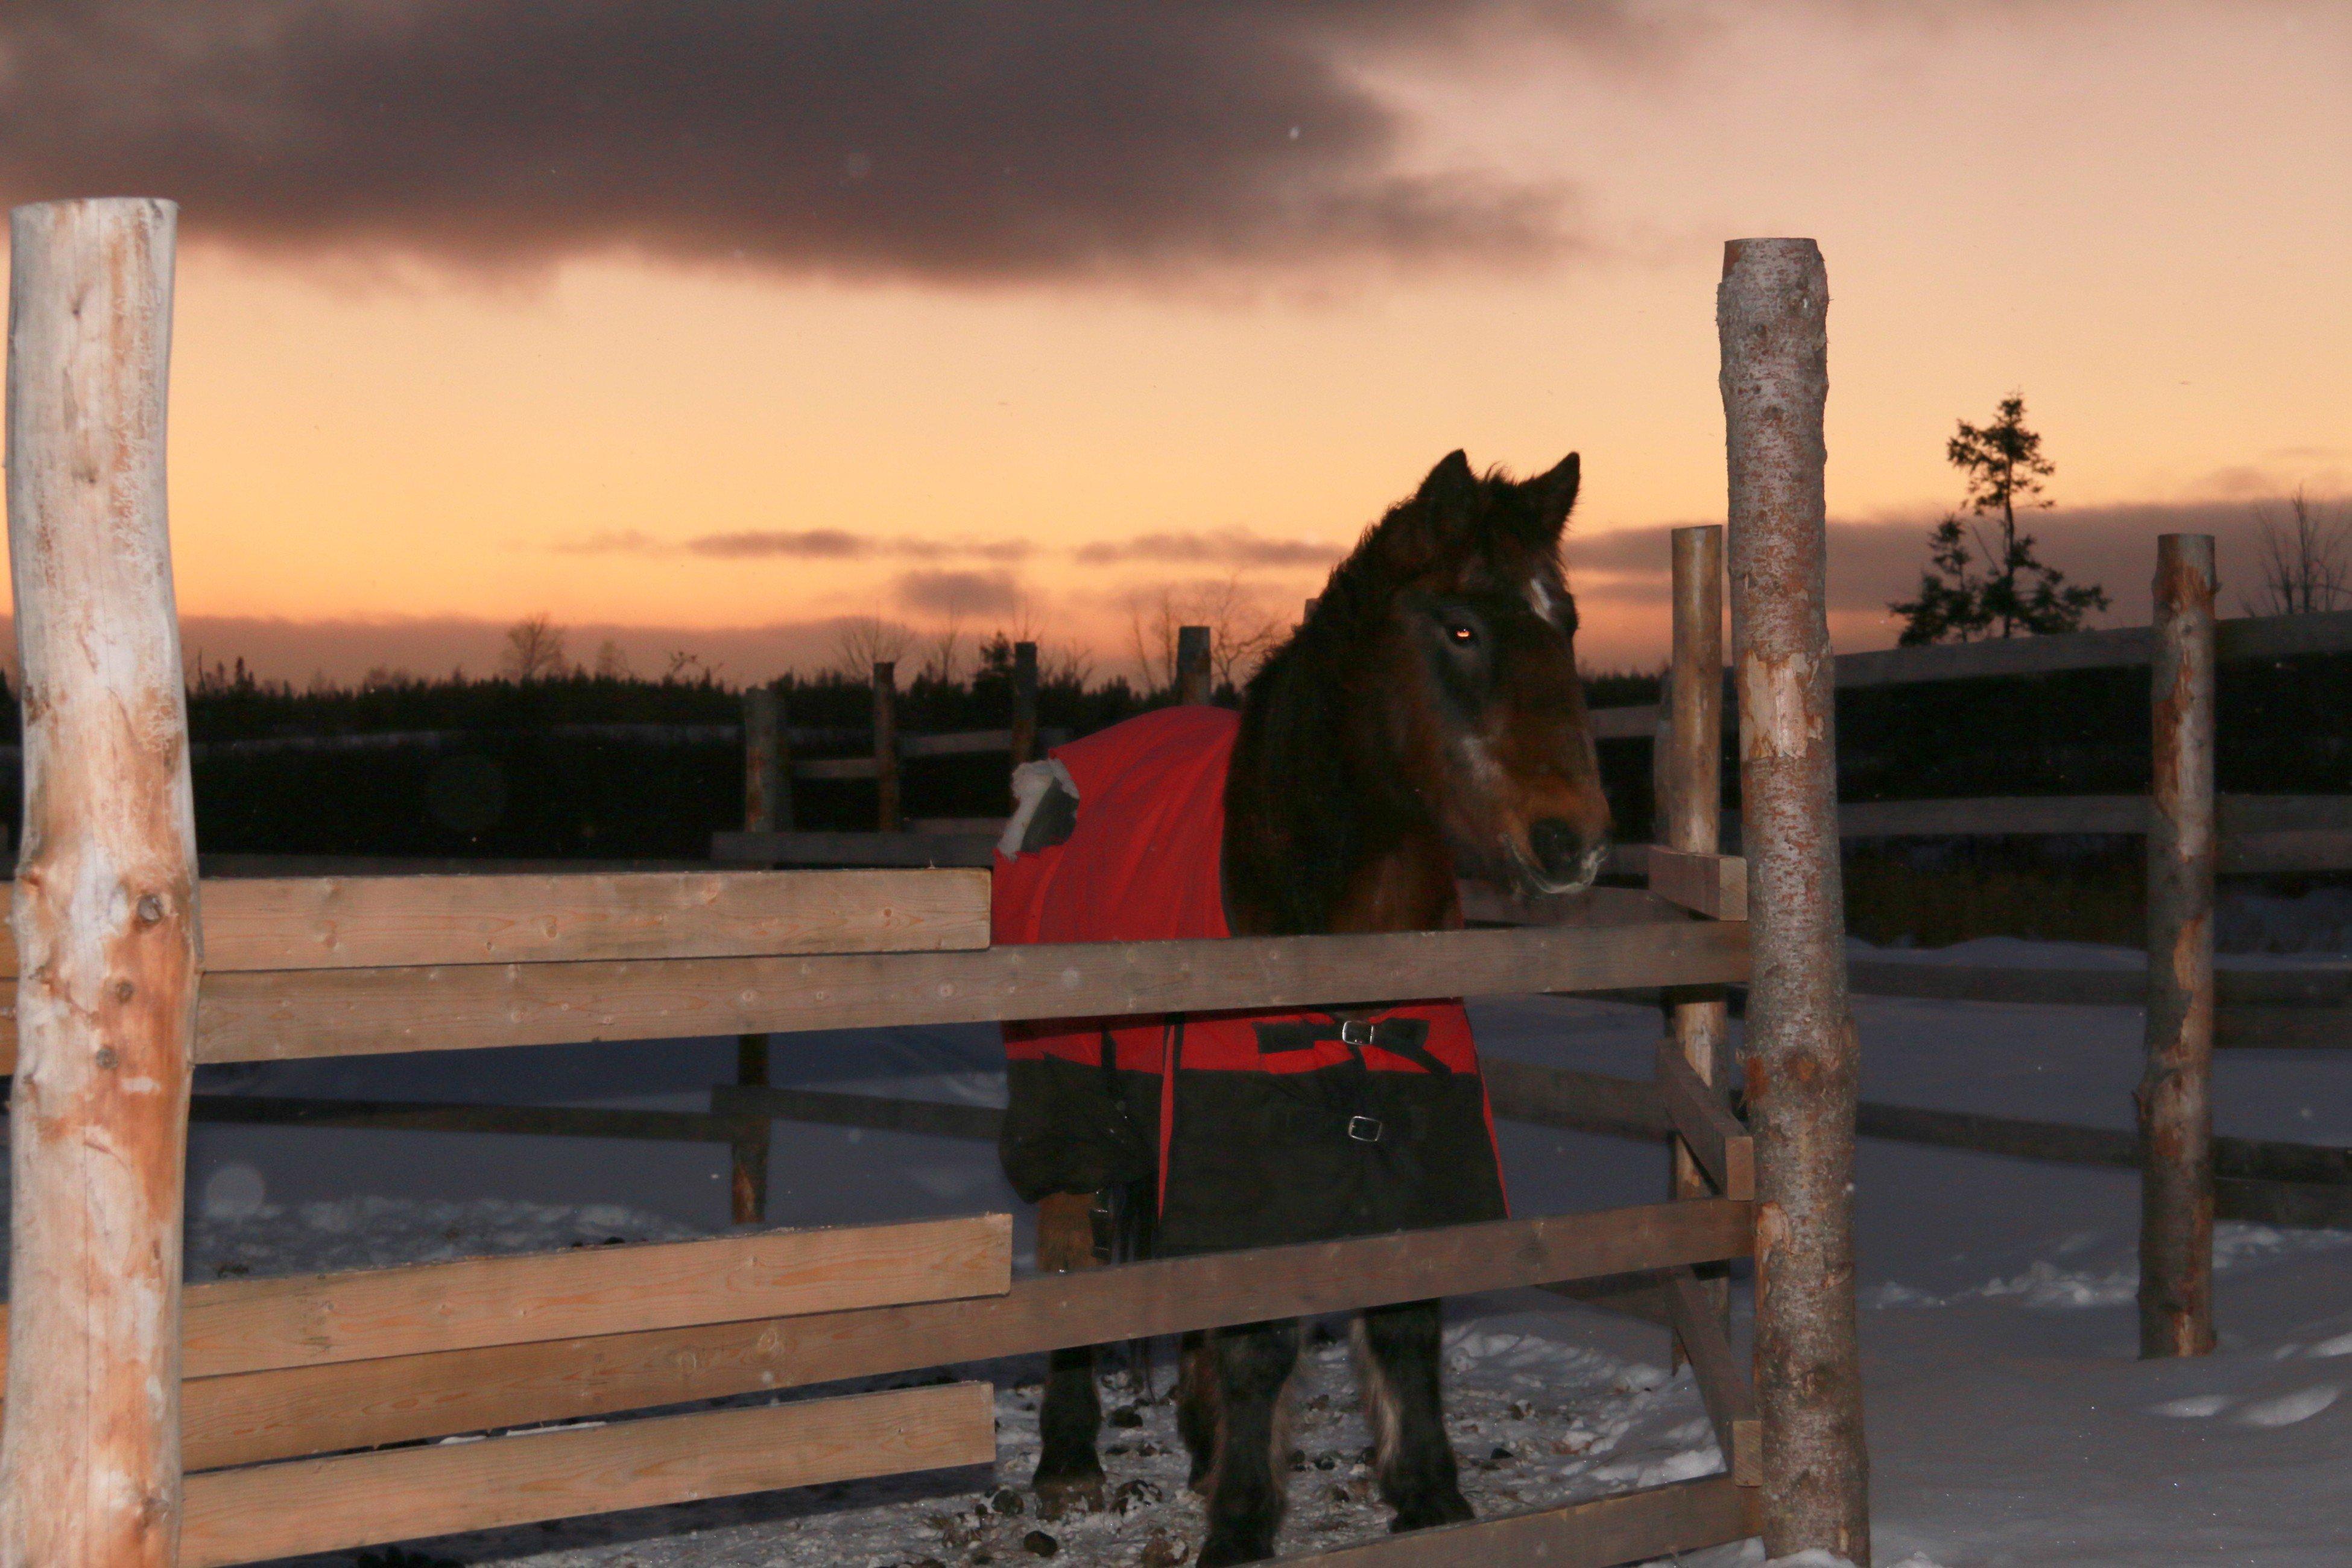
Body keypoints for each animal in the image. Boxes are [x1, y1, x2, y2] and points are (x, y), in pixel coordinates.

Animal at [983, 446, 1608, 1561]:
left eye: (1565, 620)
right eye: (1461, 628)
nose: (1572, 840)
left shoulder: (1415, 1120)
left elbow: (1401, 1313)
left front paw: (1428, 1497)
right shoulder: (1242, 1130)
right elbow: (1260, 1334)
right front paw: (1241, 1521)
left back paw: (1195, 1440)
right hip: (1069, 1093)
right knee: (1071, 1258)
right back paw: (1068, 1460)